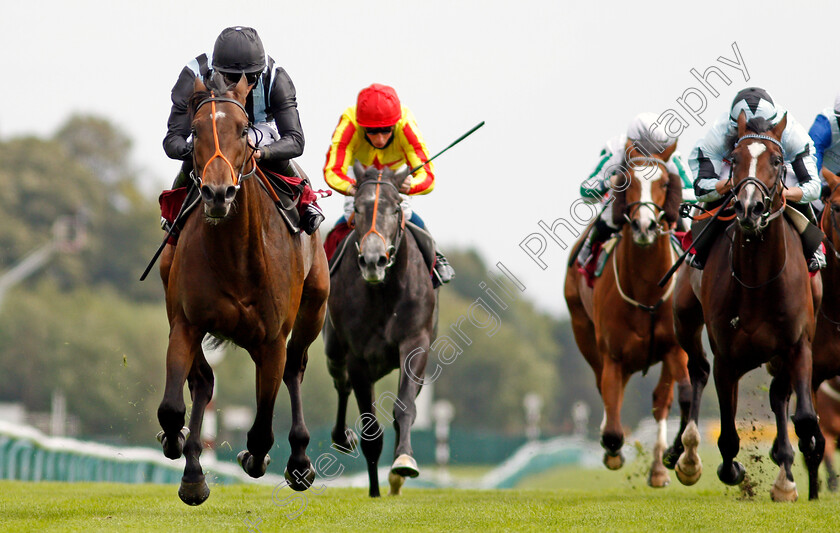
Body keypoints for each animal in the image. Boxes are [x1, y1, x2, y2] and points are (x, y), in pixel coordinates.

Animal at [158, 74, 328, 502]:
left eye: (242, 130)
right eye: (196, 130)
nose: (218, 193)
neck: (234, 254)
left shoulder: (272, 339)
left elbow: (264, 428)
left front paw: (256, 457)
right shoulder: (186, 322)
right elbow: (172, 406)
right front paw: (178, 447)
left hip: (314, 308)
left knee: (295, 368)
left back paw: (299, 462)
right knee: (203, 382)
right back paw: (192, 465)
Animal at [324, 161, 436, 494]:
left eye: (396, 207)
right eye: (358, 209)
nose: (374, 260)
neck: (384, 291)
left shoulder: (416, 341)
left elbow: (405, 406)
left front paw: (403, 463)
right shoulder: (357, 355)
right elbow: (370, 427)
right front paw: (374, 490)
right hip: (333, 349)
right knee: (342, 384)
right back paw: (343, 439)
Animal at [564, 142, 688, 486]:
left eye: (664, 182)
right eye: (626, 181)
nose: (644, 226)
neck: (646, 292)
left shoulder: (675, 349)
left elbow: (673, 402)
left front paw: (677, 461)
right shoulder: (613, 356)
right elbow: (614, 427)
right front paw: (613, 452)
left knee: (660, 402)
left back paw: (659, 467)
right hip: (584, 334)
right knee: (608, 394)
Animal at [672, 111, 824, 498]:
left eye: (778, 160)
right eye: (734, 159)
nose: (749, 208)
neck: (758, 281)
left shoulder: (798, 344)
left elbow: (804, 417)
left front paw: (801, 455)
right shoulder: (725, 355)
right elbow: (727, 435)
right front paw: (731, 469)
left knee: (779, 396)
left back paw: (785, 471)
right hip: (686, 320)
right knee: (697, 370)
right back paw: (688, 457)